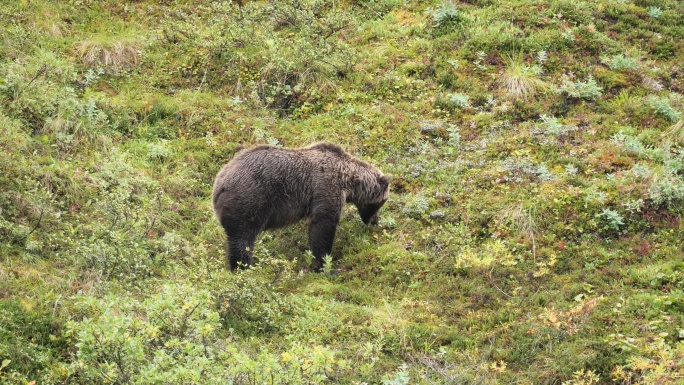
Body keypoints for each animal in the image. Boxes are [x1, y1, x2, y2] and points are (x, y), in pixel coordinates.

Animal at [214, 141, 396, 270]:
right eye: (382, 202)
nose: (375, 221)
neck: (348, 180)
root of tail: (219, 184)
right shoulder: (326, 187)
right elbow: (322, 226)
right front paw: (327, 265)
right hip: (250, 199)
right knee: (242, 239)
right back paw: (243, 268)